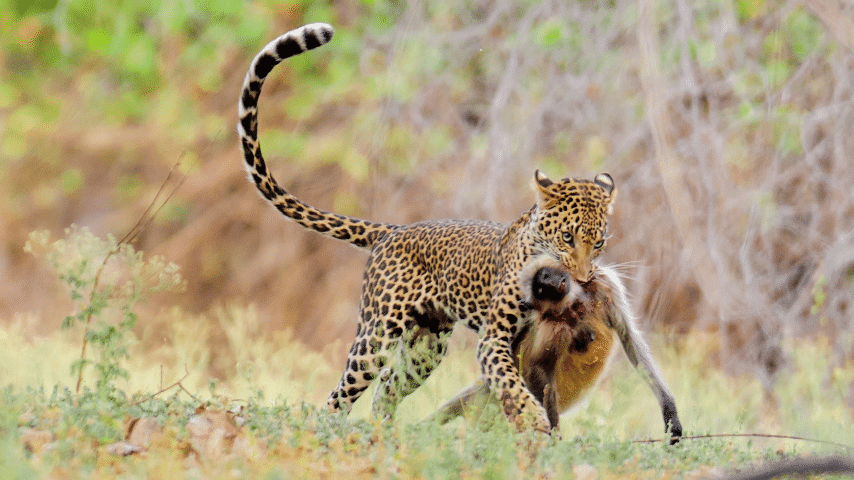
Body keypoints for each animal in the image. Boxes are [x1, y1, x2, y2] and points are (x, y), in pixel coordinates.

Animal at [241, 22, 620, 434]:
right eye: (567, 238)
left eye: (599, 243)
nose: (583, 280)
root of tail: (393, 230)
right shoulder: (494, 339)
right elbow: (510, 382)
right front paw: (532, 420)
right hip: (376, 335)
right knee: (343, 391)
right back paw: (330, 427)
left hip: (427, 346)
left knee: (387, 387)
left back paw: (388, 431)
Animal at [432, 255, 684, 442]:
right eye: (543, 287)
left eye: (549, 278)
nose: (551, 283)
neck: (576, 303)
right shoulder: (546, 319)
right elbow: (538, 362)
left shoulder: (606, 285)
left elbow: (630, 339)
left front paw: (670, 411)